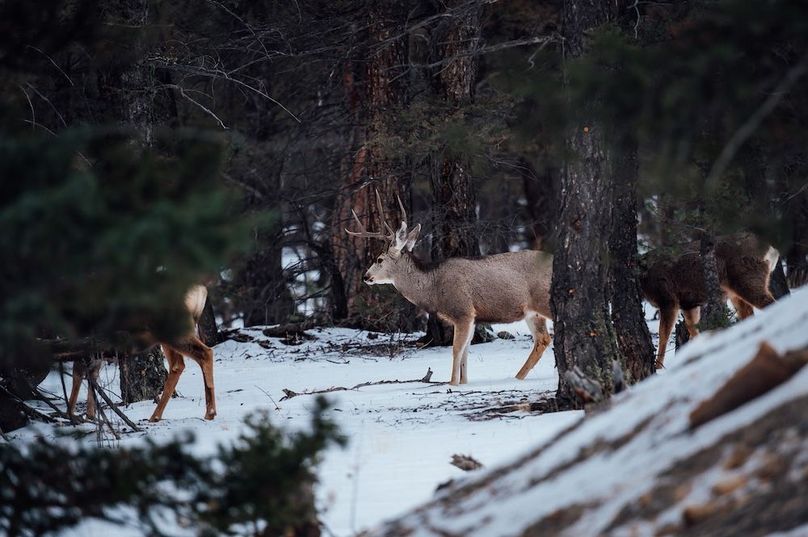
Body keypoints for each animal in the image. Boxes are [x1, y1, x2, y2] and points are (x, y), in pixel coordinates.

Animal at [67, 284, 216, 422]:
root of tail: (200, 288)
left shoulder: (81, 342)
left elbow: (77, 376)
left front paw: (72, 415)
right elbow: (92, 377)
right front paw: (90, 416)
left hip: (173, 328)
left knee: (205, 353)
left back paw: (209, 412)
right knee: (179, 364)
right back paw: (158, 416)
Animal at [346, 190, 554, 385]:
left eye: (379, 259)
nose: (366, 277)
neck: (434, 288)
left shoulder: (462, 311)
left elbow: (456, 349)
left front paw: (452, 383)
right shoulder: (472, 317)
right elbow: (465, 352)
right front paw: (464, 382)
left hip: (543, 300)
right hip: (532, 312)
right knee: (543, 339)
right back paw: (517, 378)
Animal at [639, 233, 779, 369]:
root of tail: (771, 249)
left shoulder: (667, 298)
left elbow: (663, 334)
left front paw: (658, 366)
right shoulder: (688, 303)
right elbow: (692, 328)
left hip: (748, 278)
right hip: (735, 292)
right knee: (749, 315)